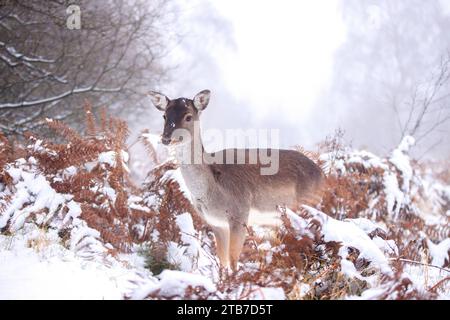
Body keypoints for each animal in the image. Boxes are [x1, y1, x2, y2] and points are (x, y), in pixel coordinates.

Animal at [149, 89, 326, 270]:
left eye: (188, 116)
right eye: (164, 115)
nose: (166, 138)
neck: (212, 192)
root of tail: (322, 175)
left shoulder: (240, 214)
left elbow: (233, 259)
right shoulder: (215, 223)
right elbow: (222, 260)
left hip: (308, 205)